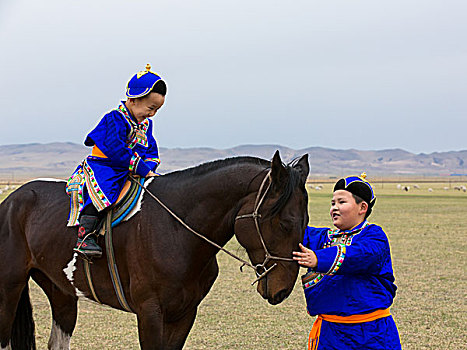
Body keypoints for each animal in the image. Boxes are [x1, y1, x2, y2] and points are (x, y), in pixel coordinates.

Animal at [0, 151, 308, 350]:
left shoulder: (184, 314)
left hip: (61, 290)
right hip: (9, 287)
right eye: (285, 223)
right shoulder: (149, 314)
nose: (283, 290)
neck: (177, 231)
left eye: (306, 223)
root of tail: (12, 199)